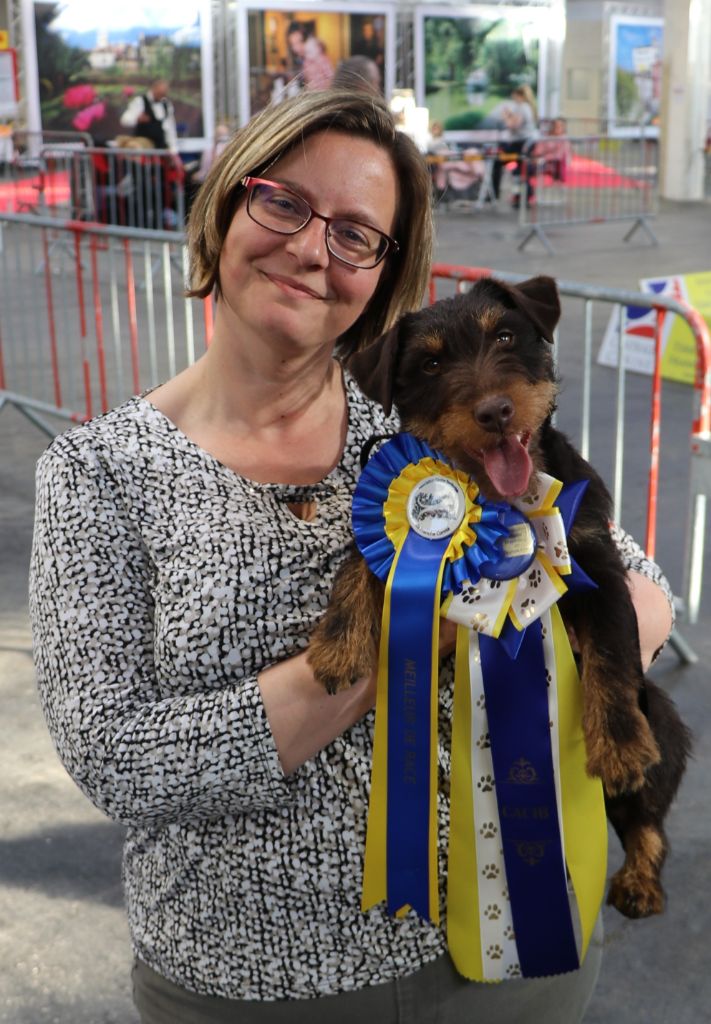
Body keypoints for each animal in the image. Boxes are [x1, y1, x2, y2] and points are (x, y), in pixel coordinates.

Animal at [311, 274, 692, 921]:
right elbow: (359, 563)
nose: (495, 411)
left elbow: (612, 653)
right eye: (431, 363)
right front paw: (339, 643)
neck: (503, 502)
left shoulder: (599, 567)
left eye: (507, 336)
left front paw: (617, 743)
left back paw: (640, 881)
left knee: (648, 822)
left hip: (662, 720)